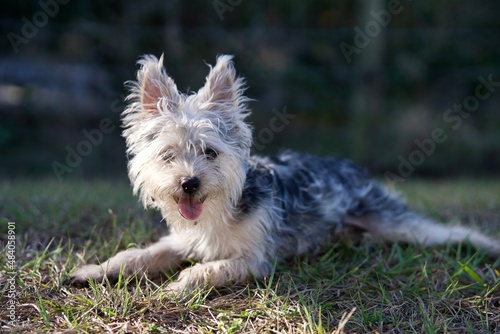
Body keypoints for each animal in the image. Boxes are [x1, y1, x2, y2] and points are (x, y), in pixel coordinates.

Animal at [69, 54, 500, 292]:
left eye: (210, 152)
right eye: (167, 155)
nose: (189, 183)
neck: (219, 213)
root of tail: (350, 167)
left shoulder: (254, 260)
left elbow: (209, 270)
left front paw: (180, 285)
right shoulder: (181, 241)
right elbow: (136, 256)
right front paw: (95, 270)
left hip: (394, 221)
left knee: (449, 233)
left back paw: (485, 245)